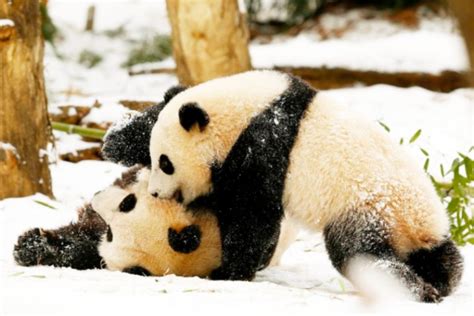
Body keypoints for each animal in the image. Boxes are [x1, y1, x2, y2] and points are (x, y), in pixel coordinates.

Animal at [147, 69, 462, 302]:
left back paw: (417, 290)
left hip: (366, 207)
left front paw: (229, 272)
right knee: (441, 257)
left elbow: (252, 215)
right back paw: (440, 282)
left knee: (359, 254)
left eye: (165, 163)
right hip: (409, 225)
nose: (155, 192)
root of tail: (416, 224)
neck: (242, 112)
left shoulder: (262, 146)